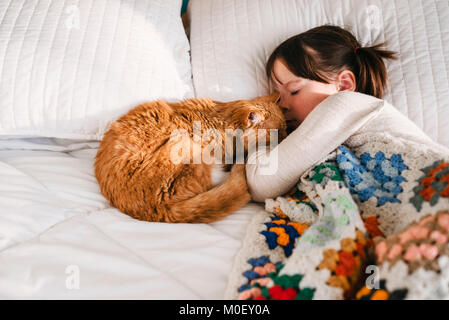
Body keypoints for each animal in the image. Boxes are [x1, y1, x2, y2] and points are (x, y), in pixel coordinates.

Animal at [93, 92, 288, 222]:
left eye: (286, 128)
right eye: (278, 133)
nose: (287, 135)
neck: (218, 120)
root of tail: (158, 211)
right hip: (186, 147)